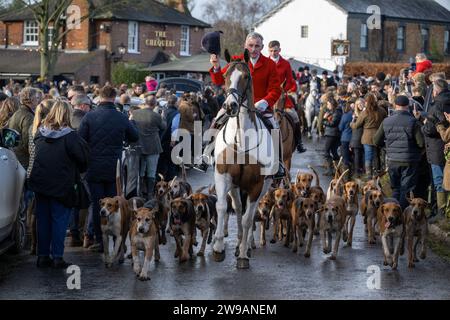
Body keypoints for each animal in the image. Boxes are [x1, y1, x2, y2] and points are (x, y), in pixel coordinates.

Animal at [213, 49, 276, 270]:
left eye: (246, 77)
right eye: (225, 75)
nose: (230, 105)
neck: (240, 138)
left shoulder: (257, 185)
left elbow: (250, 219)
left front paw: (242, 255)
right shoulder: (223, 175)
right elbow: (222, 207)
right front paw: (218, 248)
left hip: (263, 187)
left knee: (249, 212)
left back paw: (246, 245)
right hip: (235, 186)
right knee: (239, 209)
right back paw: (238, 240)